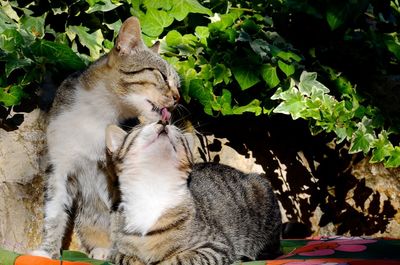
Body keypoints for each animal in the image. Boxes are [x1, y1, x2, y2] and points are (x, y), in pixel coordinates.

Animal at [30, 17, 180, 260]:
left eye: (178, 84)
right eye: (163, 76)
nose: (178, 97)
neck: (98, 114)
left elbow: (119, 219)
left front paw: (119, 252)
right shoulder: (59, 166)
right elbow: (54, 213)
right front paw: (47, 251)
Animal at [106, 118, 282, 264]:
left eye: (177, 131)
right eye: (140, 127)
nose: (163, 120)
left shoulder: (216, 246)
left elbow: (180, 260)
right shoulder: (116, 252)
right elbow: (126, 258)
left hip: (261, 188)